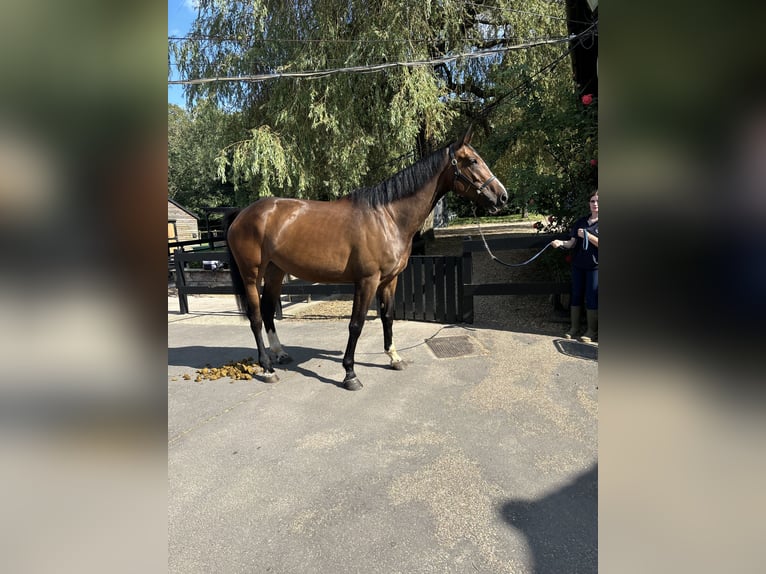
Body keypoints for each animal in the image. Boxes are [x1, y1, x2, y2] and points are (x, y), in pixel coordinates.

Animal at [225, 127, 508, 392]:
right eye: (472, 161)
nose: (502, 196)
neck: (387, 217)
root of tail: (243, 214)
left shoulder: (389, 281)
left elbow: (388, 317)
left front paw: (394, 358)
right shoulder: (366, 281)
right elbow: (356, 324)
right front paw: (350, 374)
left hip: (276, 272)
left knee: (268, 310)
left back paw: (280, 353)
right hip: (252, 276)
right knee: (256, 317)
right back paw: (267, 368)